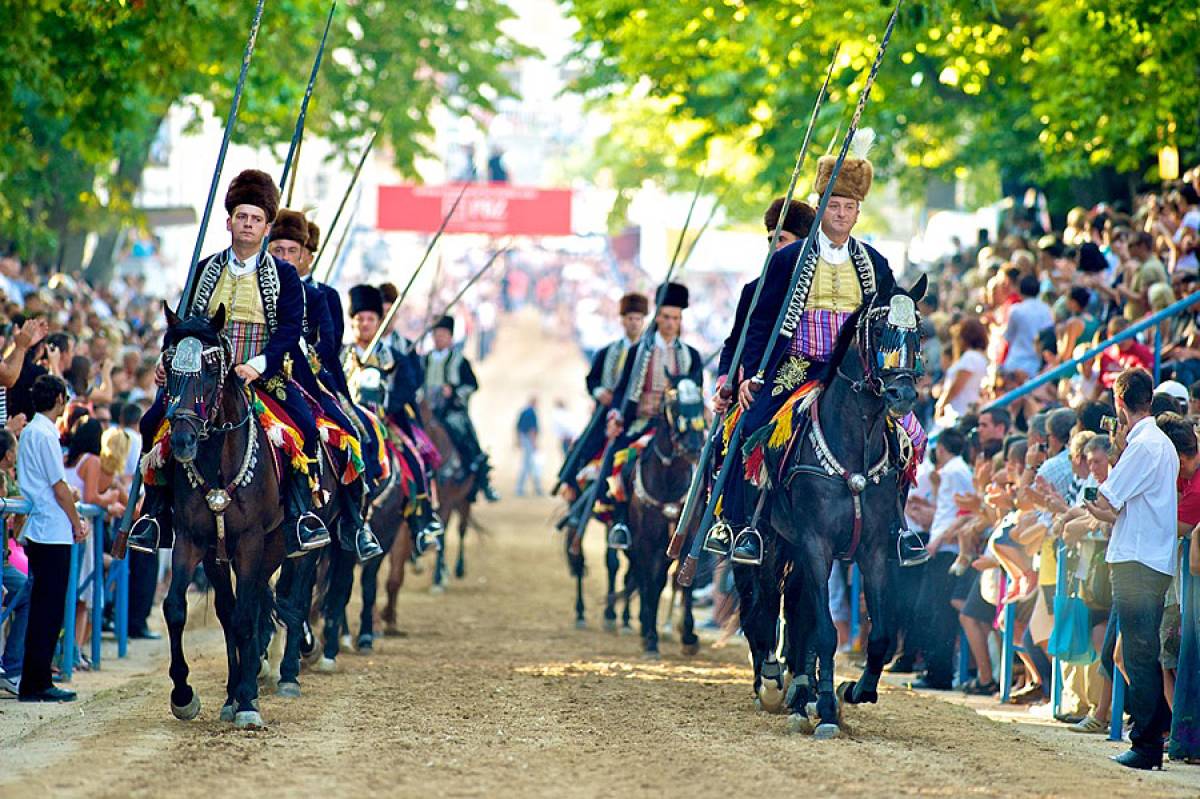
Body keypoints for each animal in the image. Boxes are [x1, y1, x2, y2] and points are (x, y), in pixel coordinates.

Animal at [739, 273, 926, 734]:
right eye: (879, 330)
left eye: (918, 333)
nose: (901, 394)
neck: (853, 447)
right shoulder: (815, 543)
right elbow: (825, 631)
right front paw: (824, 710)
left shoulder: (872, 550)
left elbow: (877, 636)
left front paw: (853, 691)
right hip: (771, 541)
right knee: (765, 603)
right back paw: (774, 682)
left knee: (797, 610)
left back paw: (800, 691)